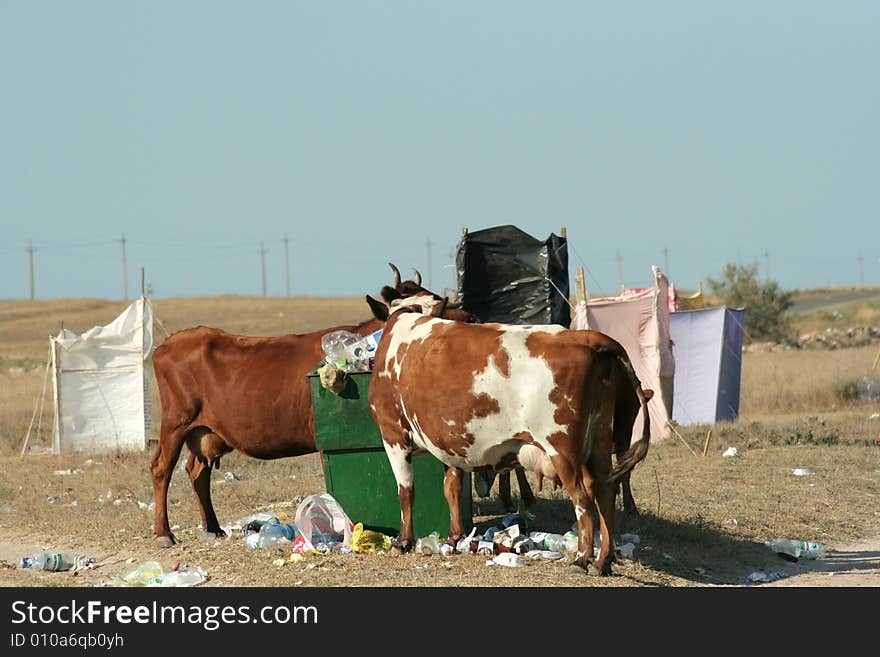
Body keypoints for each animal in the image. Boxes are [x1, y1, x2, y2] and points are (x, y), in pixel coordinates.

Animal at [149, 264, 446, 544]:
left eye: (434, 306)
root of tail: (170, 342)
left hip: (205, 433)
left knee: (197, 472)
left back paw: (213, 527)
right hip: (176, 423)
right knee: (162, 468)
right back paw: (164, 532)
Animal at [364, 298, 652, 576]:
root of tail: (585, 337)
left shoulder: (393, 434)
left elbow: (406, 490)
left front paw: (403, 541)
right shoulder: (449, 441)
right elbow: (452, 488)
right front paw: (454, 537)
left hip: (562, 449)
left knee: (583, 500)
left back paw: (582, 559)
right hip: (600, 441)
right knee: (605, 493)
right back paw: (603, 561)